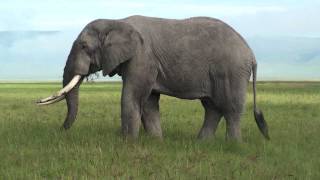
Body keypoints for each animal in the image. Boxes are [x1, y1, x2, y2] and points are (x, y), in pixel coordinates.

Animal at [37, 15, 270, 141]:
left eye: (84, 46)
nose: (60, 131)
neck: (117, 22)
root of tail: (251, 53)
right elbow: (148, 102)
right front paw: (156, 142)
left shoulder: (142, 57)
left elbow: (132, 97)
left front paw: (127, 143)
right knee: (212, 108)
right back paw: (201, 143)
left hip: (232, 70)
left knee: (231, 109)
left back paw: (233, 145)